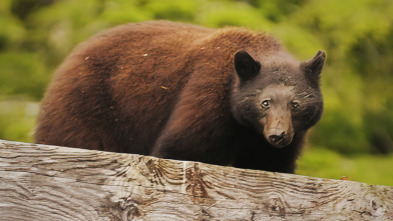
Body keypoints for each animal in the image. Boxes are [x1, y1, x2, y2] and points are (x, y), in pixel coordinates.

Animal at [36, 20, 324, 174]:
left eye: (295, 104)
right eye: (265, 102)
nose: (278, 135)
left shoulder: (274, 139)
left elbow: (269, 163)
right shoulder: (208, 96)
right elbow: (183, 147)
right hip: (85, 105)